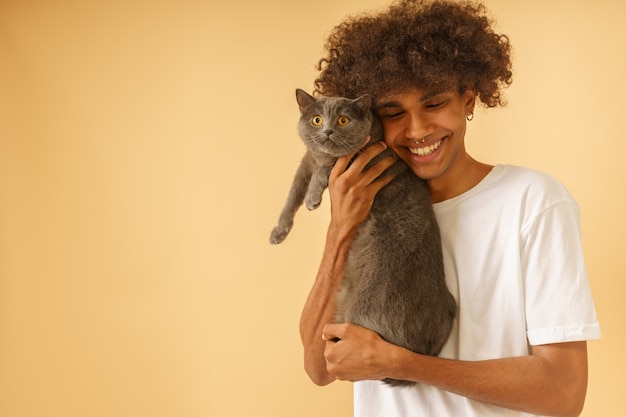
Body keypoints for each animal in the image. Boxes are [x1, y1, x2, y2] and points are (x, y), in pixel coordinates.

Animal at [270, 88, 456, 386]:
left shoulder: (361, 158)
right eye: (316, 119)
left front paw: (312, 199)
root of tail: (424, 349)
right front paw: (279, 231)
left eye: (343, 120)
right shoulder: (307, 160)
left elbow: (324, 171)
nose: (328, 131)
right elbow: (292, 193)